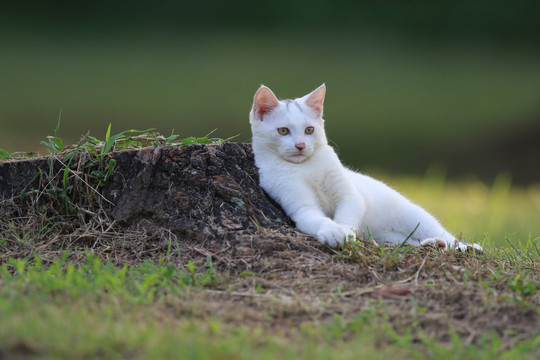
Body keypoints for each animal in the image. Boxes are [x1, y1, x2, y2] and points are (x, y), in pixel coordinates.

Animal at [251, 85, 484, 253]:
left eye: (309, 130)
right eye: (283, 131)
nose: (300, 145)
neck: (305, 166)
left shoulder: (348, 194)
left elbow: (349, 210)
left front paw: (345, 232)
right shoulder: (298, 203)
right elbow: (314, 217)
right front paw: (333, 232)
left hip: (413, 216)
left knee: (443, 234)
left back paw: (465, 247)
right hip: (389, 237)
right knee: (410, 242)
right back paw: (432, 244)